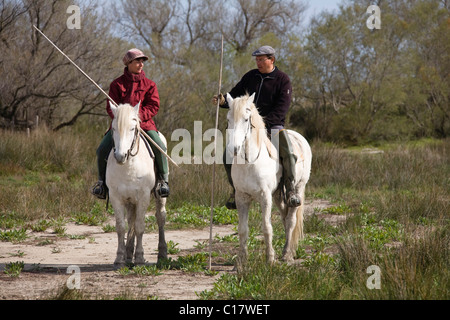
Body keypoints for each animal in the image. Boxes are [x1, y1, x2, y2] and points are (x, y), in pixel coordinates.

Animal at [105, 102, 167, 268]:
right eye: (114, 128)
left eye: (132, 128)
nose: (120, 156)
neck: (128, 165)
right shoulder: (116, 197)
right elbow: (121, 227)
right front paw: (119, 258)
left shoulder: (143, 197)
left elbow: (139, 226)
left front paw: (139, 257)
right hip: (129, 200)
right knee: (130, 220)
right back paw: (128, 254)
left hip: (159, 198)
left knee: (160, 217)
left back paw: (162, 253)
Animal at [227, 93, 312, 268]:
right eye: (228, 119)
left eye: (246, 119)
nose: (234, 149)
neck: (250, 162)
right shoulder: (241, 197)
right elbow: (242, 229)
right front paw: (241, 261)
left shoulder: (265, 197)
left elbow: (267, 227)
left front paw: (270, 259)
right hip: (278, 195)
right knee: (285, 218)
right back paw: (288, 250)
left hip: (298, 188)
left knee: (291, 220)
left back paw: (286, 254)